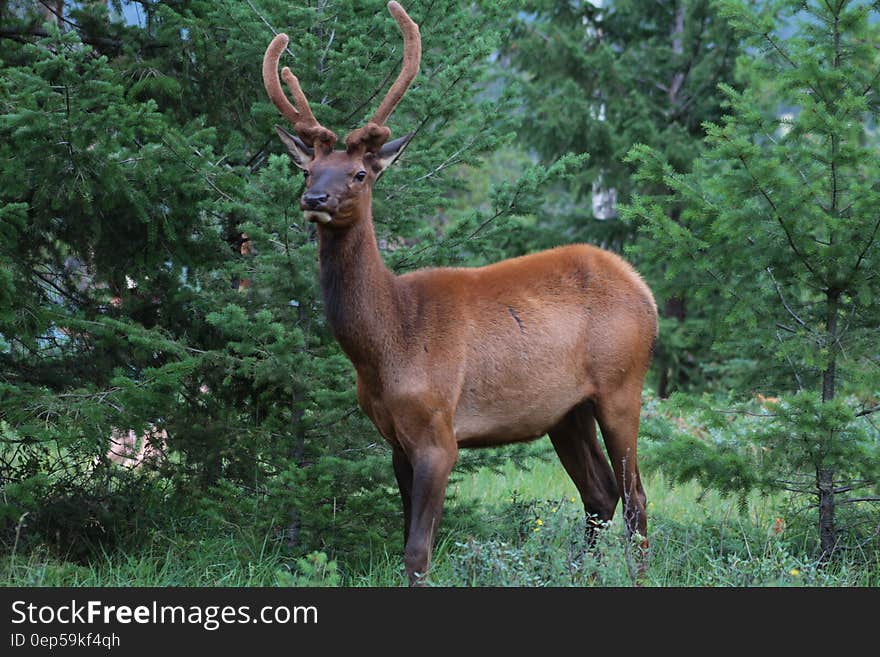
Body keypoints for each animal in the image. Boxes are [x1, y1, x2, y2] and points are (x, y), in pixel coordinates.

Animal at [264, 0, 656, 584]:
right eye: (309, 168)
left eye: (359, 174)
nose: (314, 199)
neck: (388, 342)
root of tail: (644, 289)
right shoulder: (393, 438)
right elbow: (405, 542)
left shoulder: (438, 431)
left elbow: (418, 552)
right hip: (565, 411)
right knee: (600, 494)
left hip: (622, 383)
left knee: (635, 497)